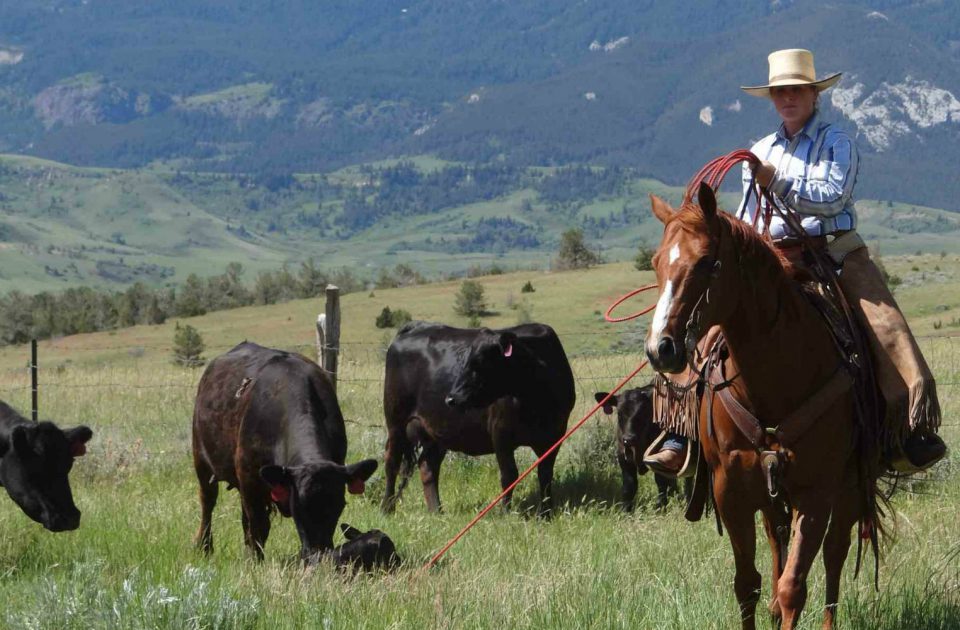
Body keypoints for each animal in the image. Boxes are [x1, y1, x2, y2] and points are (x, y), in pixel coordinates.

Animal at [190, 344, 376, 564]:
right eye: (299, 506)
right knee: (208, 503)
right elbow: (258, 526)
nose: (318, 554)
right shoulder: (250, 479)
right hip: (201, 460)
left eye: (339, 505)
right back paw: (204, 546)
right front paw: (255, 562)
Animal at [382, 324, 576, 516]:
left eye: (481, 362)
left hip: (437, 432)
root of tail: (414, 326)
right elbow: (509, 475)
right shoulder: (500, 433)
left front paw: (546, 513)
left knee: (428, 466)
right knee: (392, 463)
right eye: (465, 361)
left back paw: (436, 510)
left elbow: (545, 474)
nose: (451, 398)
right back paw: (387, 508)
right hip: (396, 422)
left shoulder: (555, 434)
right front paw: (505, 512)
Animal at [644, 184, 876, 630]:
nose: (660, 349)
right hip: (771, 495)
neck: (775, 378)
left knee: (835, 556)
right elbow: (747, 584)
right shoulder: (730, 490)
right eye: (656, 263)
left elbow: (793, 587)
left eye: (707, 262)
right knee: (777, 540)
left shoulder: (816, 492)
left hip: (849, 486)